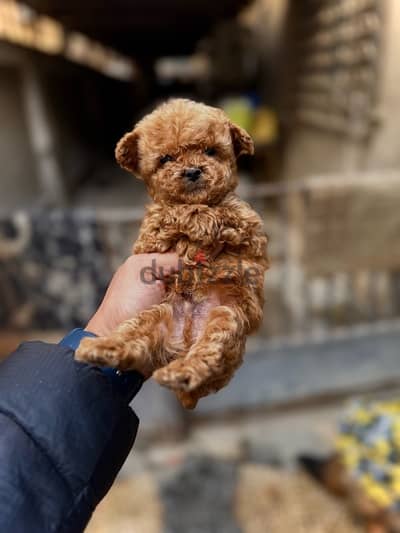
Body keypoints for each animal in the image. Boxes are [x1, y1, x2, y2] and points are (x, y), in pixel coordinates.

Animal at [75, 98, 268, 408]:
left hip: (224, 320)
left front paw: (201, 218)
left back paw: (178, 373)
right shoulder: (149, 240)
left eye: (210, 151)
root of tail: (182, 344)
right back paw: (99, 347)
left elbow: (218, 213)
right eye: (166, 159)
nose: (192, 172)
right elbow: (168, 212)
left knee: (205, 356)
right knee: (130, 342)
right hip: (151, 317)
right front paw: (189, 216)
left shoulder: (247, 225)